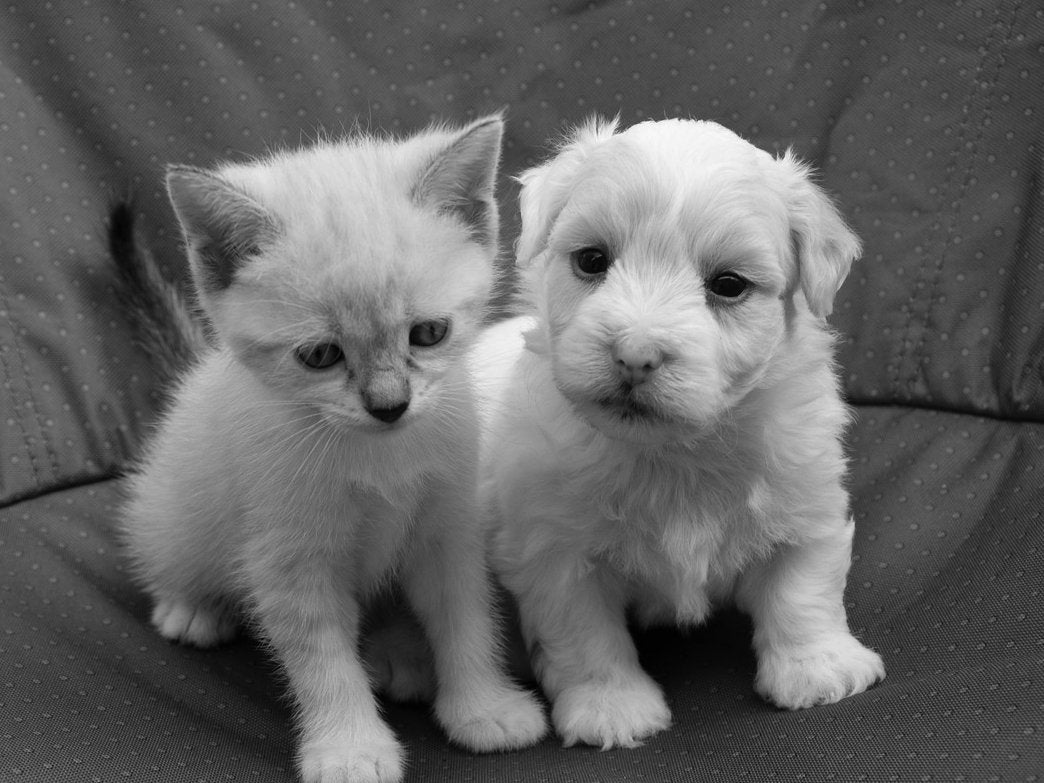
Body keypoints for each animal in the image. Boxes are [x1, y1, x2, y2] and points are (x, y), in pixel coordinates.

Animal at [110, 115, 546, 783]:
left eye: (429, 333)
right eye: (320, 355)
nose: (390, 405)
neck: (378, 457)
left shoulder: (450, 527)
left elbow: (465, 618)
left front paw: (484, 709)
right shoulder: (289, 559)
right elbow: (323, 662)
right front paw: (350, 749)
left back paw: (400, 655)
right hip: (173, 509)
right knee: (167, 548)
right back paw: (192, 607)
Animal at [471, 117, 885, 749]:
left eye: (729, 284)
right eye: (592, 260)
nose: (635, 355)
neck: (673, 452)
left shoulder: (805, 499)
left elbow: (804, 591)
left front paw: (818, 670)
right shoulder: (553, 549)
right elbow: (584, 635)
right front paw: (611, 708)